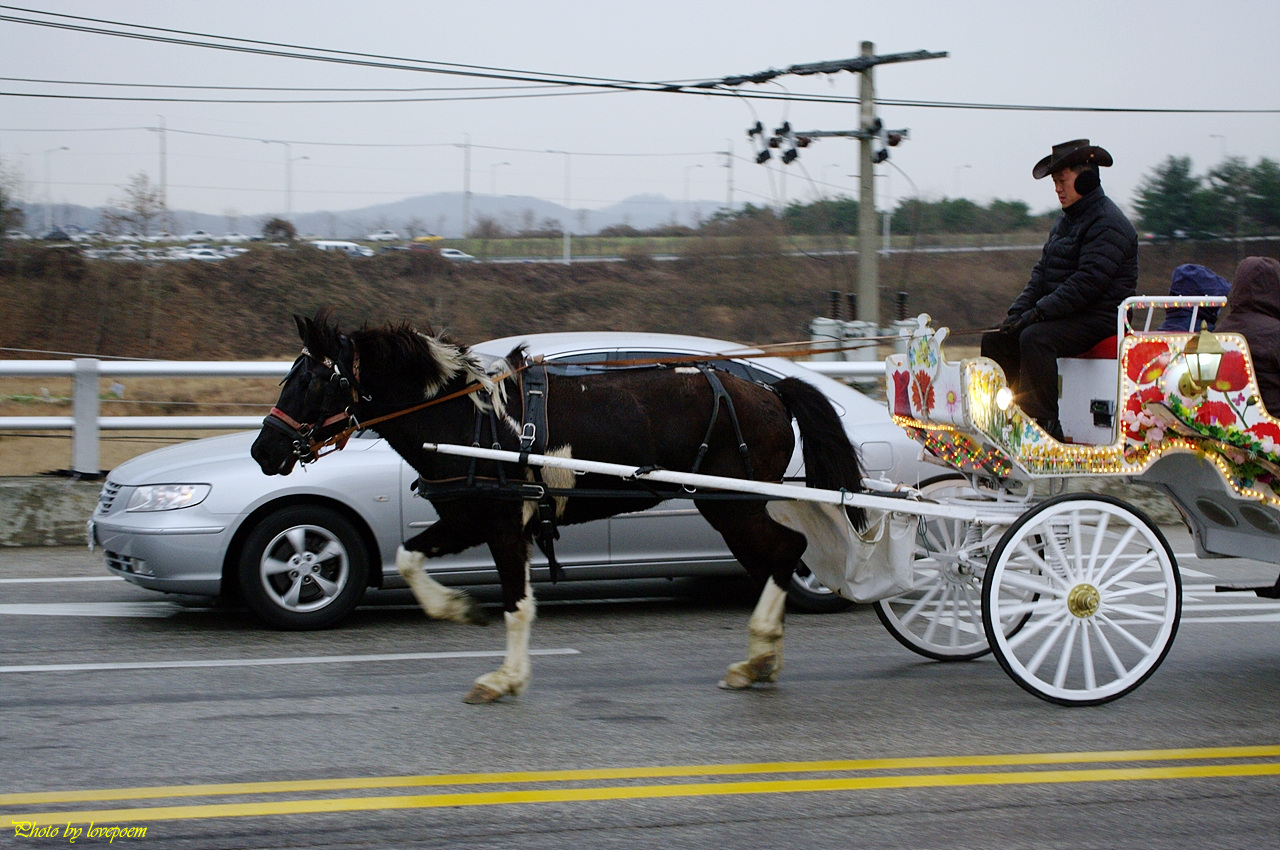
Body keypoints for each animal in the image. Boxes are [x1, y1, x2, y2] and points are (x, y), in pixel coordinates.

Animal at [250, 312, 865, 701]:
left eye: (313, 381)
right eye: (289, 376)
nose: (264, 449)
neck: (470, 420)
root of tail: (769, 391)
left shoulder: (502, 524)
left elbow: (517, 605)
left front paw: (503, 678)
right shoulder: (468, 516)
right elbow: (406, 558)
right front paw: (455, 608)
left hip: (731, 502)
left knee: (788, 549)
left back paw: (759, 652)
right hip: (732, 505)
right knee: (776, 557)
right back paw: (765, 656)